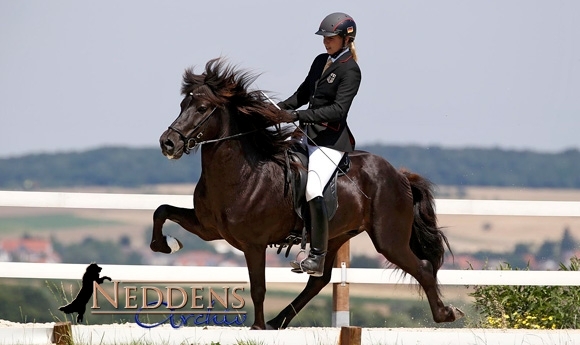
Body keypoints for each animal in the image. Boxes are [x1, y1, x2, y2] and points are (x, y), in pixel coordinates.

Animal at [150, 57, 462, 330]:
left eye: (202, 108)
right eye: (183, 104)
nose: (168, 143)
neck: (242, 174)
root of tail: (399, 176)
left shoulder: (253, 243)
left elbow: (258, 288)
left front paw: (257, 327)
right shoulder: (209, 229)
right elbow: (162, 210)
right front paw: (165, 245)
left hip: (388, 239)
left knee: (422, 267)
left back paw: (446, 314)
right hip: (335, 236)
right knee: (319, 281)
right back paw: (278, 321)